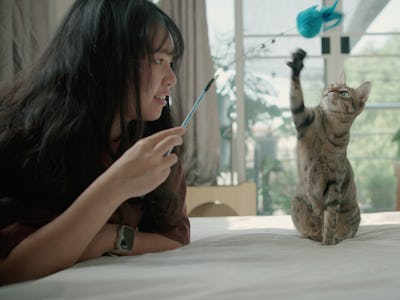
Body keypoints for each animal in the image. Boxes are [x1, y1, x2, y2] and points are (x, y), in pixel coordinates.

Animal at [286, 48, 370, 244]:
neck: (328, 130)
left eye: (344, 93)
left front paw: (328, 242)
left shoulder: (333, 183)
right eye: (332, 84)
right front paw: (297, 63)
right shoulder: (303, 118)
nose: (329, 89)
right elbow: (296, 94)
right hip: (296, 203)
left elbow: (330, 218)